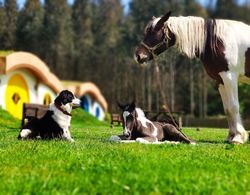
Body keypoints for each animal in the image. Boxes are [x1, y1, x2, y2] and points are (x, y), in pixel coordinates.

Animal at [135, 11, 250, 144]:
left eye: (154, 31)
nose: (138, 55)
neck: (216, 40)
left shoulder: (229, 77)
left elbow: (233, 106)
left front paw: (238, 138)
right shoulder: (220, 80)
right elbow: (227, 109)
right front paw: (231, 136)